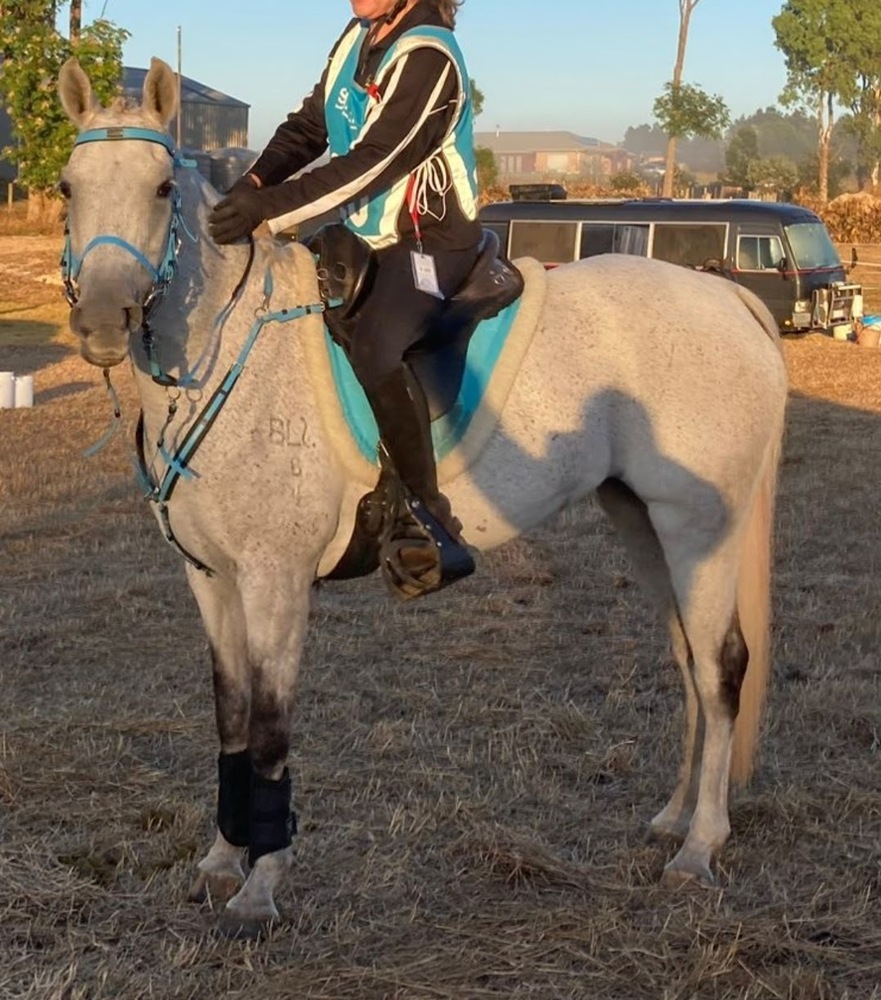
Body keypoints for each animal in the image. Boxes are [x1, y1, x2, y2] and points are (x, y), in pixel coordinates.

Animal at [57, 56, 788, 937]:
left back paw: (699, 847)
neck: (227, 352)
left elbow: (268, 730)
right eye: (67, 187)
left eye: (163, 187)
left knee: (720, 667)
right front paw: (220, 859)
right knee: (686, 659)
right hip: (642, 522)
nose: (103, 319)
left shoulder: (274, 581)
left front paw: (260, 886)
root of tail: (725, 296)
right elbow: (230, 718)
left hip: (698, 527)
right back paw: (675, 819)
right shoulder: (211, 580)